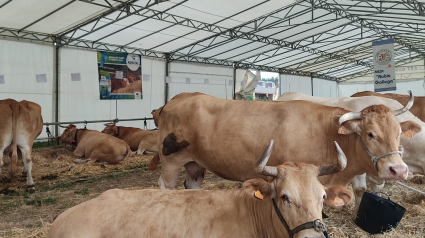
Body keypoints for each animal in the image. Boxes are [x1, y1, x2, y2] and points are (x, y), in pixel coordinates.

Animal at [151, 93, 416, 199]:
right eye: (370, 134)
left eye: (399, 133)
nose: (399, 170)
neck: (326, 134)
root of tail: (178, 98)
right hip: (170, 161)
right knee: (165, 186)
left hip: (195, 164)